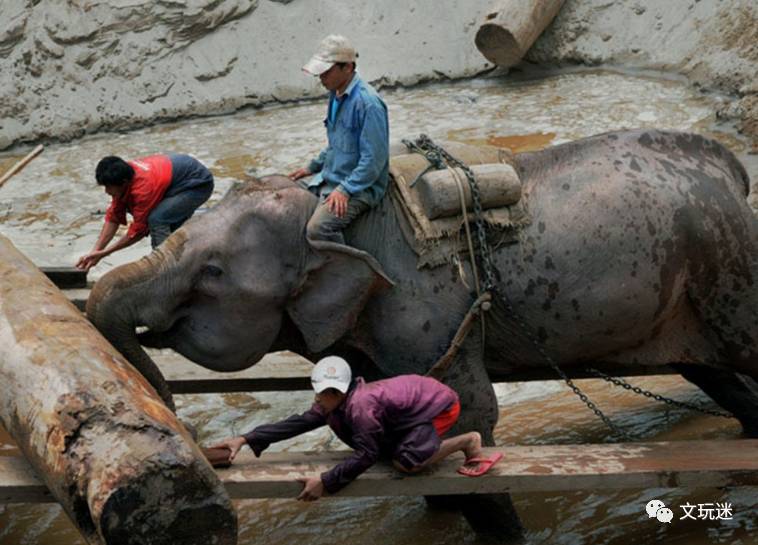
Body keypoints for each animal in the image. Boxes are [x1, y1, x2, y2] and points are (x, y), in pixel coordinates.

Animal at [86, 130, 756, 536]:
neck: (331, 215)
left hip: (727, 262)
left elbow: (470, 414)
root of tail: (727, 164)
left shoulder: (429, 311)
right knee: (719, 376)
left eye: (213, 272)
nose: (195, 439)